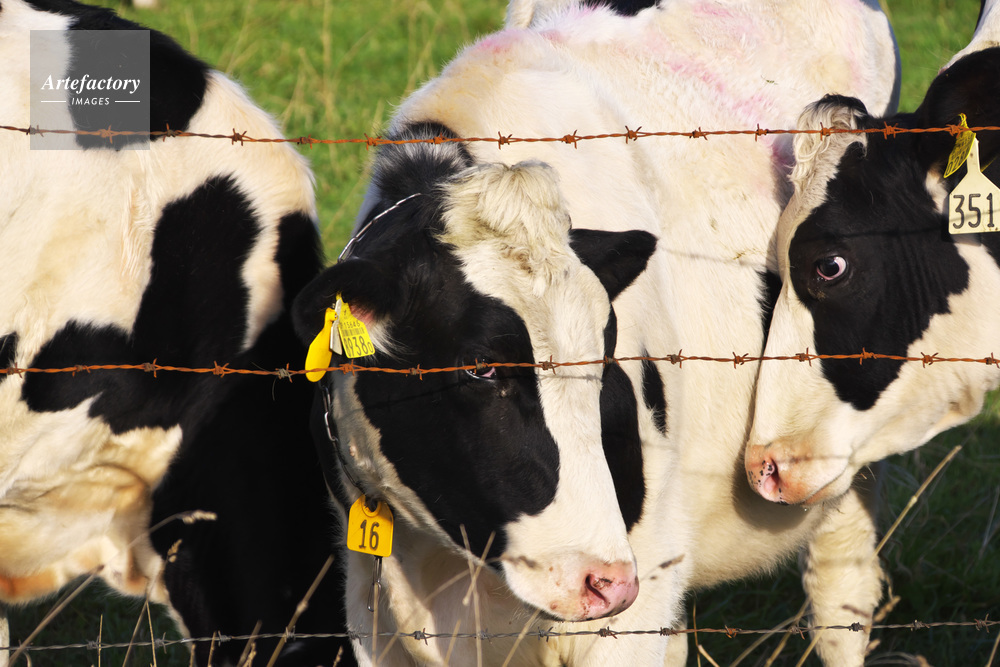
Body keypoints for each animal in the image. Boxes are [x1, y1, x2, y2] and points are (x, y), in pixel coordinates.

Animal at [292, 0, 900, 664]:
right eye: (479, 367)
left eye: (602, 361)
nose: (604, 581)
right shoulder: (372, 606)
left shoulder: (639, 596)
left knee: (841, 592)